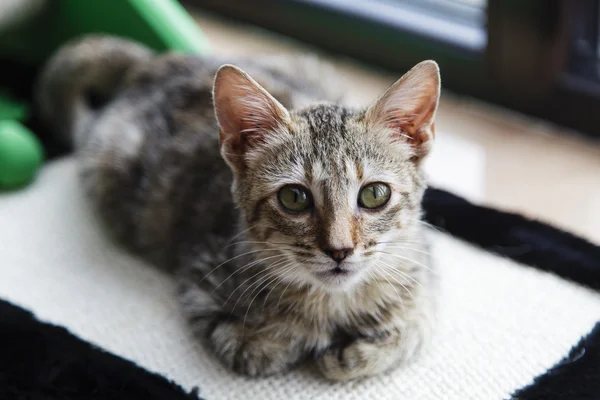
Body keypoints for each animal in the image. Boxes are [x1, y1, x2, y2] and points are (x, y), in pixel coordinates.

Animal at [37, 35, 440, 382]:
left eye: (374, 194)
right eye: (294, 198)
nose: (339, 250)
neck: (333, 303)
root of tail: (158, 62)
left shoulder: (423, 274)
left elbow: (415, 330)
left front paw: (357, 354)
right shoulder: (198, 282)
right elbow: (248, 347)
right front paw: (290, 341)